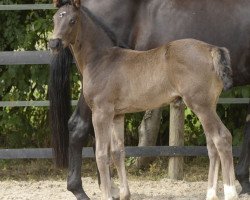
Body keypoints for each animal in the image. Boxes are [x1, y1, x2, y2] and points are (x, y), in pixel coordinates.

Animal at [49, 3, 237, 200]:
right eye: (54, 18)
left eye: (72, 20)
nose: (53, 43)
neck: (102, 59)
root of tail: (211, 50)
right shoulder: (117, 115)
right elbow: (117, 151)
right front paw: (124, 194)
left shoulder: (101, 112)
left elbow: (101, 154)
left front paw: (108, 194)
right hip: (209, 106)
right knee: (212, 144)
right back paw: (211, 194)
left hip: (201, 105)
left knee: (222, 138)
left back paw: (230, 192)